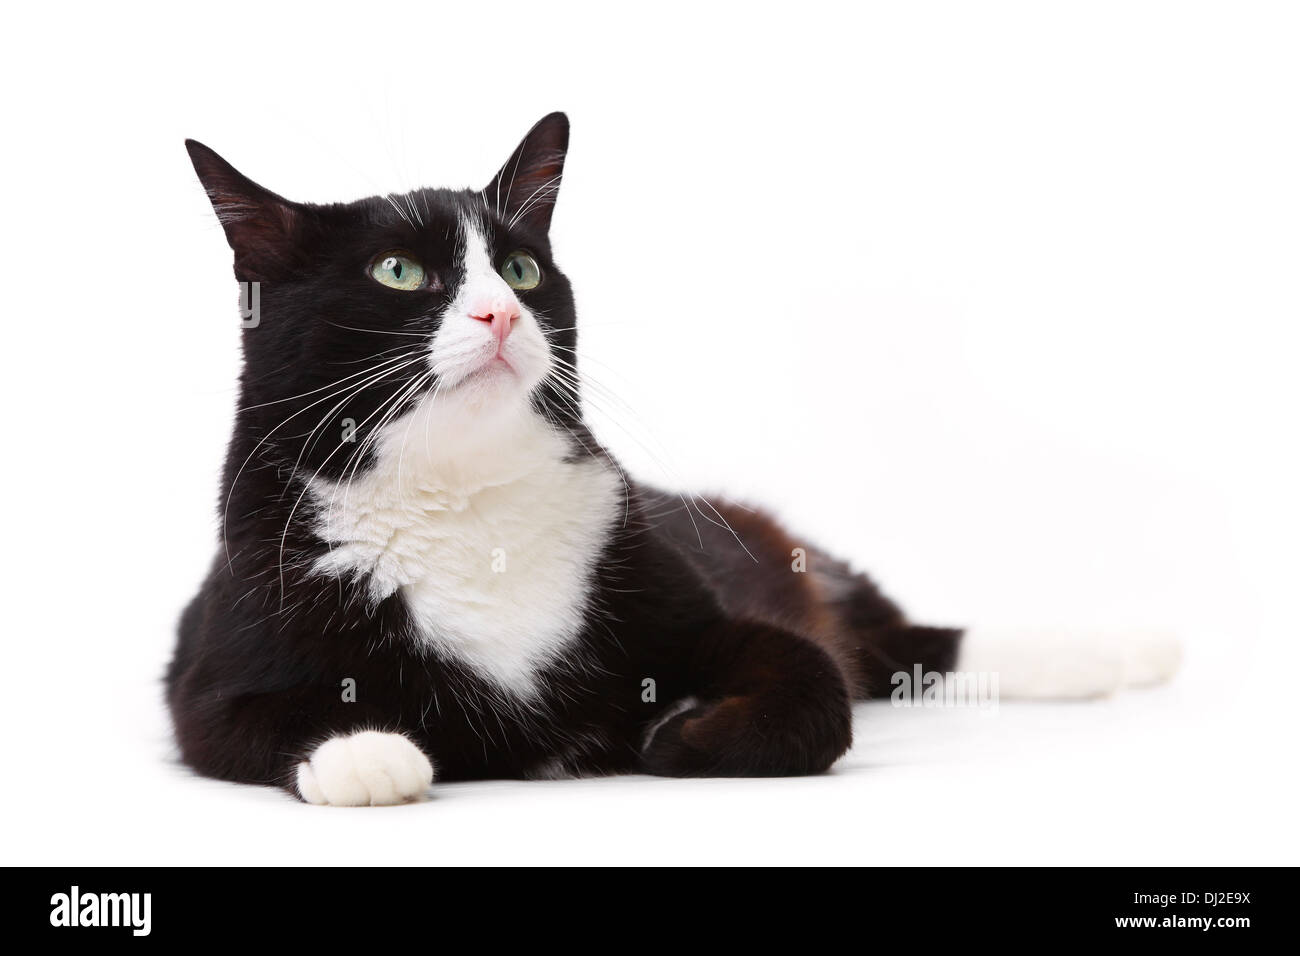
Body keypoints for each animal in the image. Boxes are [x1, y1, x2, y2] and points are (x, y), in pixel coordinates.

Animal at [165, 111, 1180, 806]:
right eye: (399, 273)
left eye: (523, 269)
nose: (502, 313)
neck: (459, 499)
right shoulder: (216, 658)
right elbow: (244, 721)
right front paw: (364, 752)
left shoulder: (686, 598)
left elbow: (812, 681)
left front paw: (679, 735)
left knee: (904, 644)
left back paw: (1116, 652)